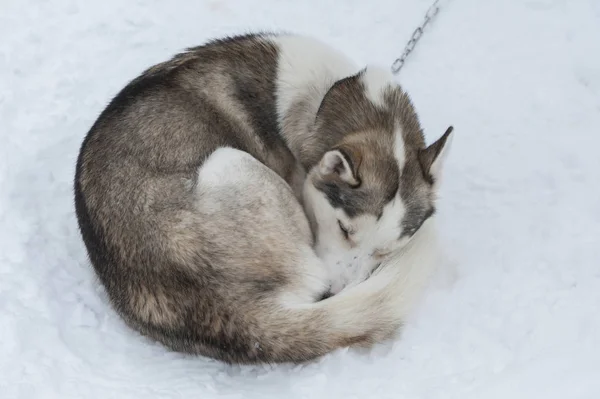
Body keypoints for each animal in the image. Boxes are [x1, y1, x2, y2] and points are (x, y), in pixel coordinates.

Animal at [74, 33, 450, 366]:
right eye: (344, 229)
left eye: (385, 251)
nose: (334, 291)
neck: (325, 100)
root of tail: (228, 313)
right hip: (230, 162)